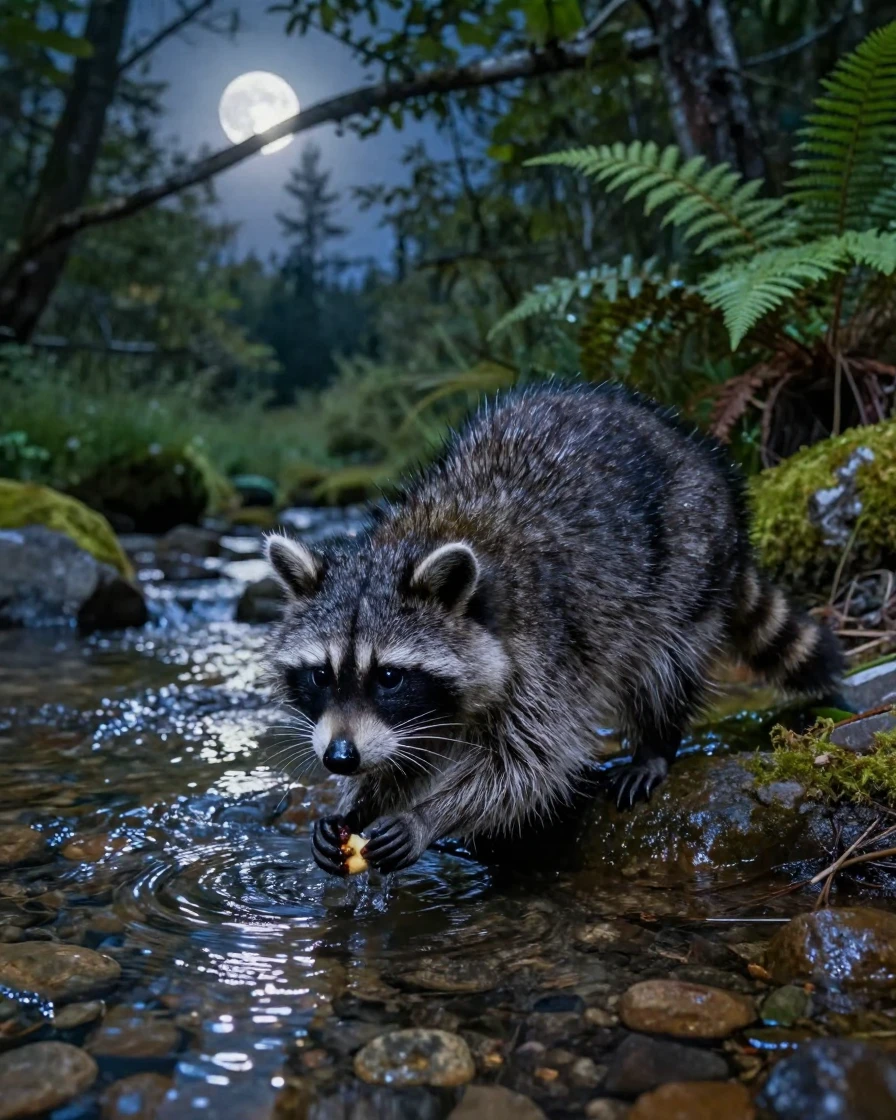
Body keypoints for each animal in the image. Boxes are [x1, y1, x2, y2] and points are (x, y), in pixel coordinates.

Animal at [265, 383, 843, 875]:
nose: (340, 758)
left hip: (686, 557)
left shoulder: (542, 650)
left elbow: (532, 766)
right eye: (321, 675)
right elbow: (410, 750)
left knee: (664, 661)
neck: (412, 539)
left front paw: (428, 815)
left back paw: (656, 744)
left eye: (388, 676)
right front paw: (361, 801)